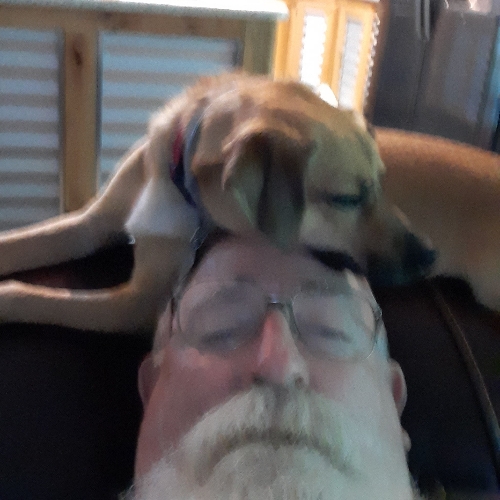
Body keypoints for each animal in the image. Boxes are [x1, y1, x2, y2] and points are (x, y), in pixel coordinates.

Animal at [0, 73, 434, 333]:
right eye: (347, 199)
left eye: (382, 183)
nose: (430, 256)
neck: (178, 176)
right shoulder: (88, 225)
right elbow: (21, 242)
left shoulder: (135, 302)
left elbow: (36, 296)